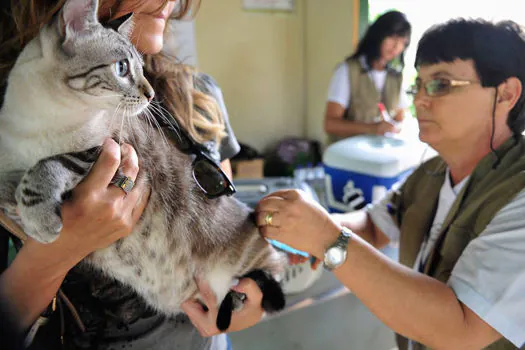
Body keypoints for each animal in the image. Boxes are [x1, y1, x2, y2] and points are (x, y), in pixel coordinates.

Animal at [0, 0, 282, 330]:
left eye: (141, 68)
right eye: (122, 67)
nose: (150, 94)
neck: (43, 119)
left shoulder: (109, 148)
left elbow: (48, 165)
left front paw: (40, 219)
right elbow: (9, 187)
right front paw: (23, 208)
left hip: (254, 264)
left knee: (271, 279)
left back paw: (238, 297)